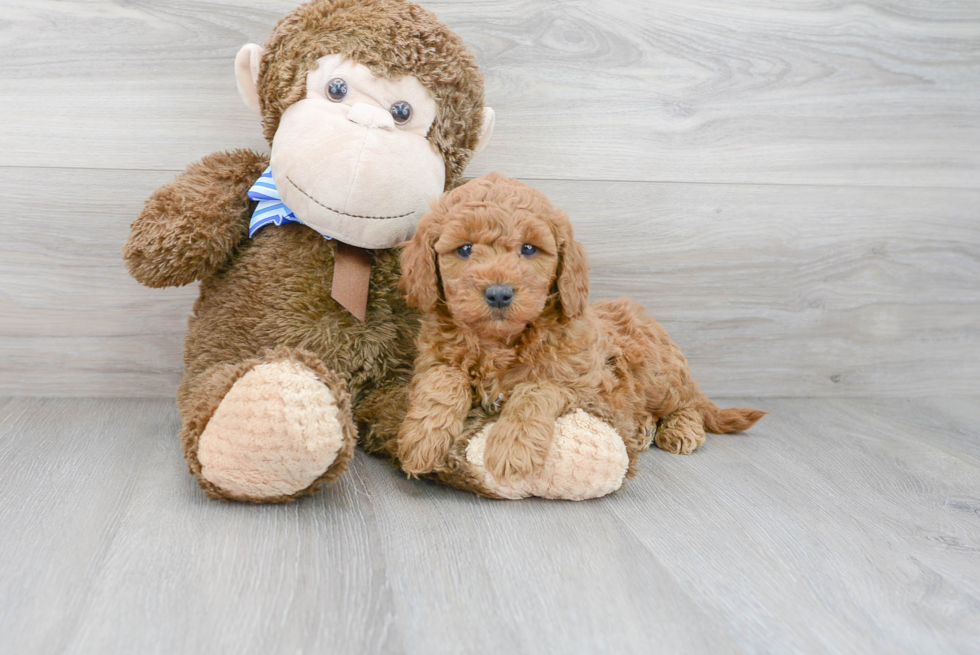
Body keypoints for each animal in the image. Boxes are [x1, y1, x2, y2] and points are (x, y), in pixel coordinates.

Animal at [394, 172, 760, 484]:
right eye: (465, 249)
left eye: (529, 248)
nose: (498, 293)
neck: (500, 342)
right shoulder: (432, 361)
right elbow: (444, 379)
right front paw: (422, 439)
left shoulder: (590, 389)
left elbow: (536, 389)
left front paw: (513, 446)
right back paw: (643, 428)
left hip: (657, 373)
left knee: (689, 404)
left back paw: (682, 429)